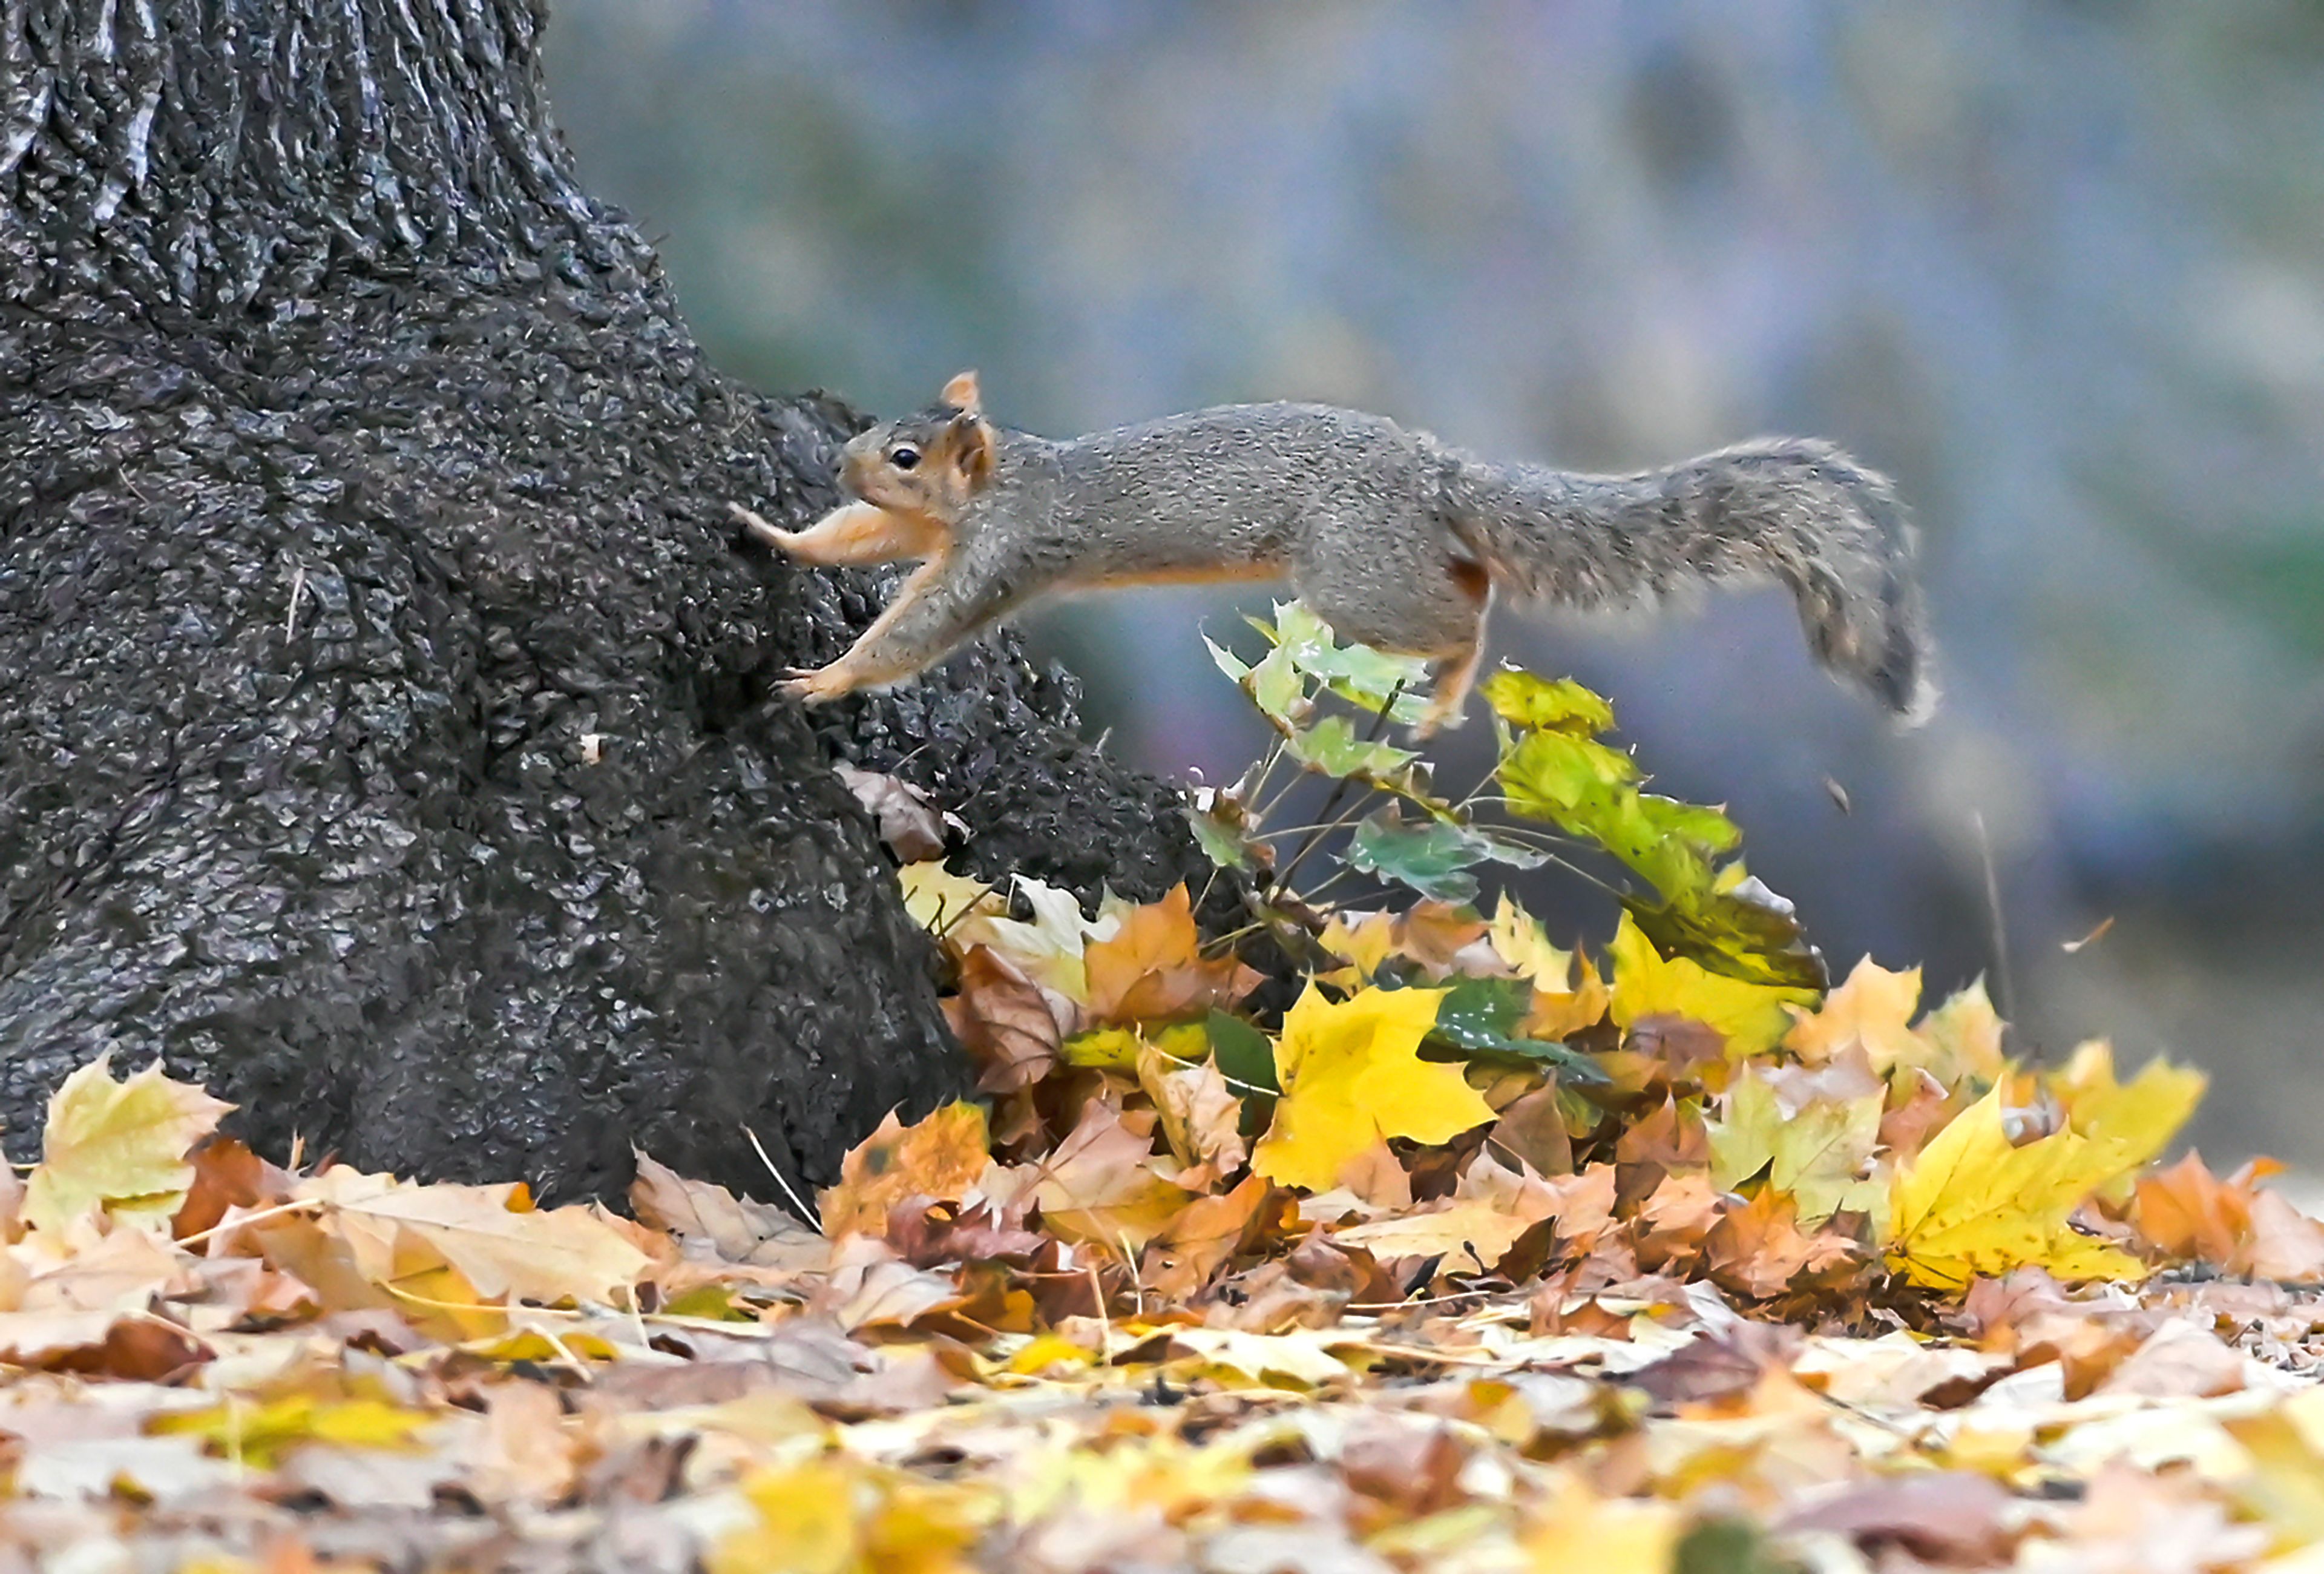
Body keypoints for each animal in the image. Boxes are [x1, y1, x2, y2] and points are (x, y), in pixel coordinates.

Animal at [734, 369, 1933, 734]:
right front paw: (771, 529)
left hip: (1353, 580)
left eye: (904, 452)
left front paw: (824, 680)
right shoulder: (931, 533)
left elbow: (919, 629)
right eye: (877, 436)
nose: (840, 456)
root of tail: (1436, 472)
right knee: (1474, 576)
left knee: (1465, 616)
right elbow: (852, 545)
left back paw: (1447, 692)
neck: (1004, 478)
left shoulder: (1000, 553)